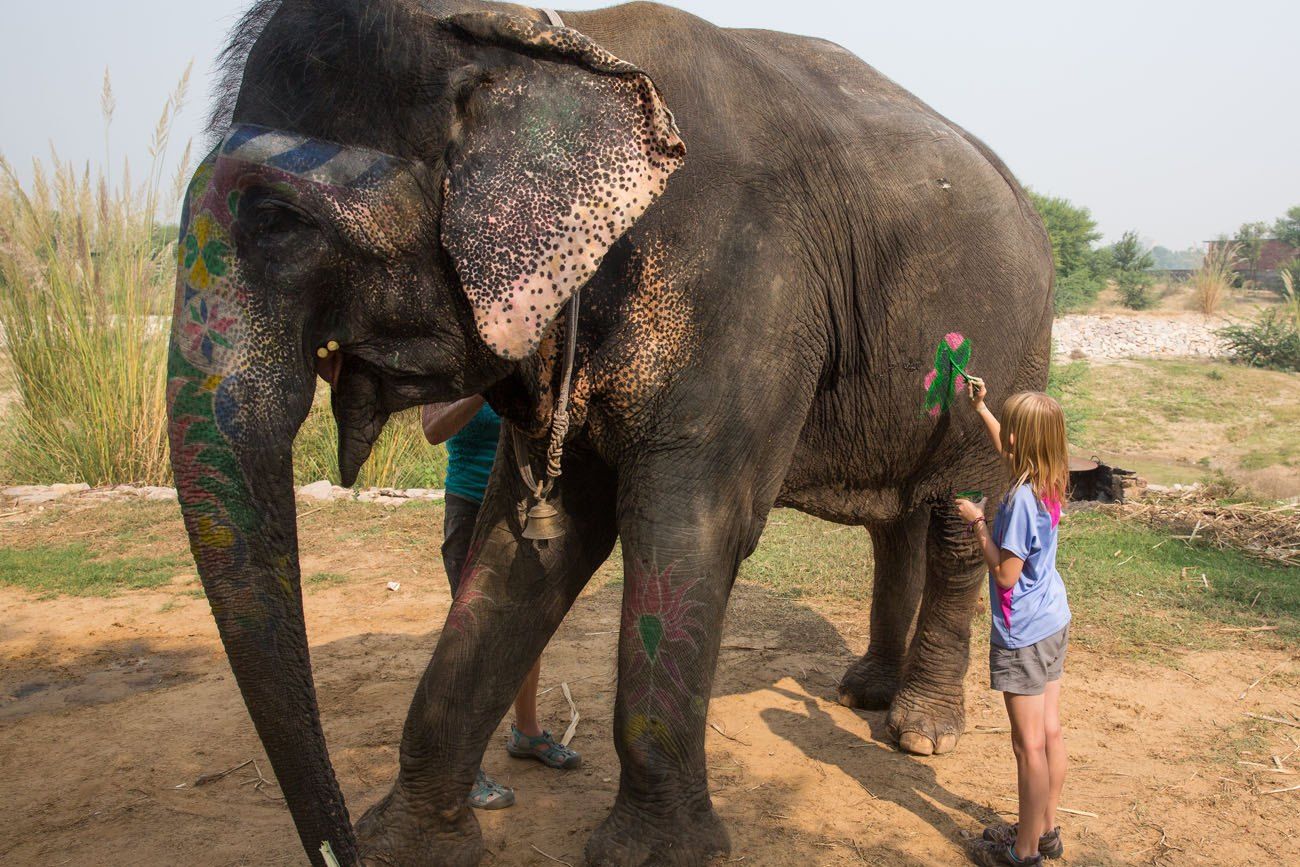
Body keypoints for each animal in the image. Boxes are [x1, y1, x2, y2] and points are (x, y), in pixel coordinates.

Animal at [165, 0, 1055, 863]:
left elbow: (690, 531)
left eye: (279, 224)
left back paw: (921, 730)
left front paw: (652, 854)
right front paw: (406, 843)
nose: (337, 848)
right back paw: (865, 688)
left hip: (1016, 349)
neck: (532, 40)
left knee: (958, 515)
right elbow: (526, 545)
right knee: (894, 520)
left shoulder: (744, 290)